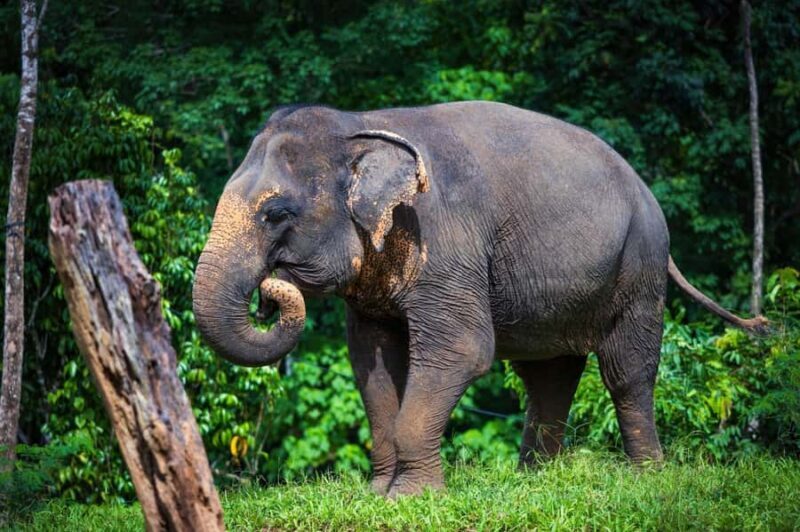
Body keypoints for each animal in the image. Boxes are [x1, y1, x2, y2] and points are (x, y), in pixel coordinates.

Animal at [192, 101, 767, 497]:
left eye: (276, 214)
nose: (269, 294)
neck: (363, 124)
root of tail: (647, 192)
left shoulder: (445, 240)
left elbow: (462, 350)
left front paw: (411, 499)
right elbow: (372, 363)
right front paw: (377, 494)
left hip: (640, 266)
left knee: (627, 370)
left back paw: (646, 476)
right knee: (549, 375)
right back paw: (536, 479)